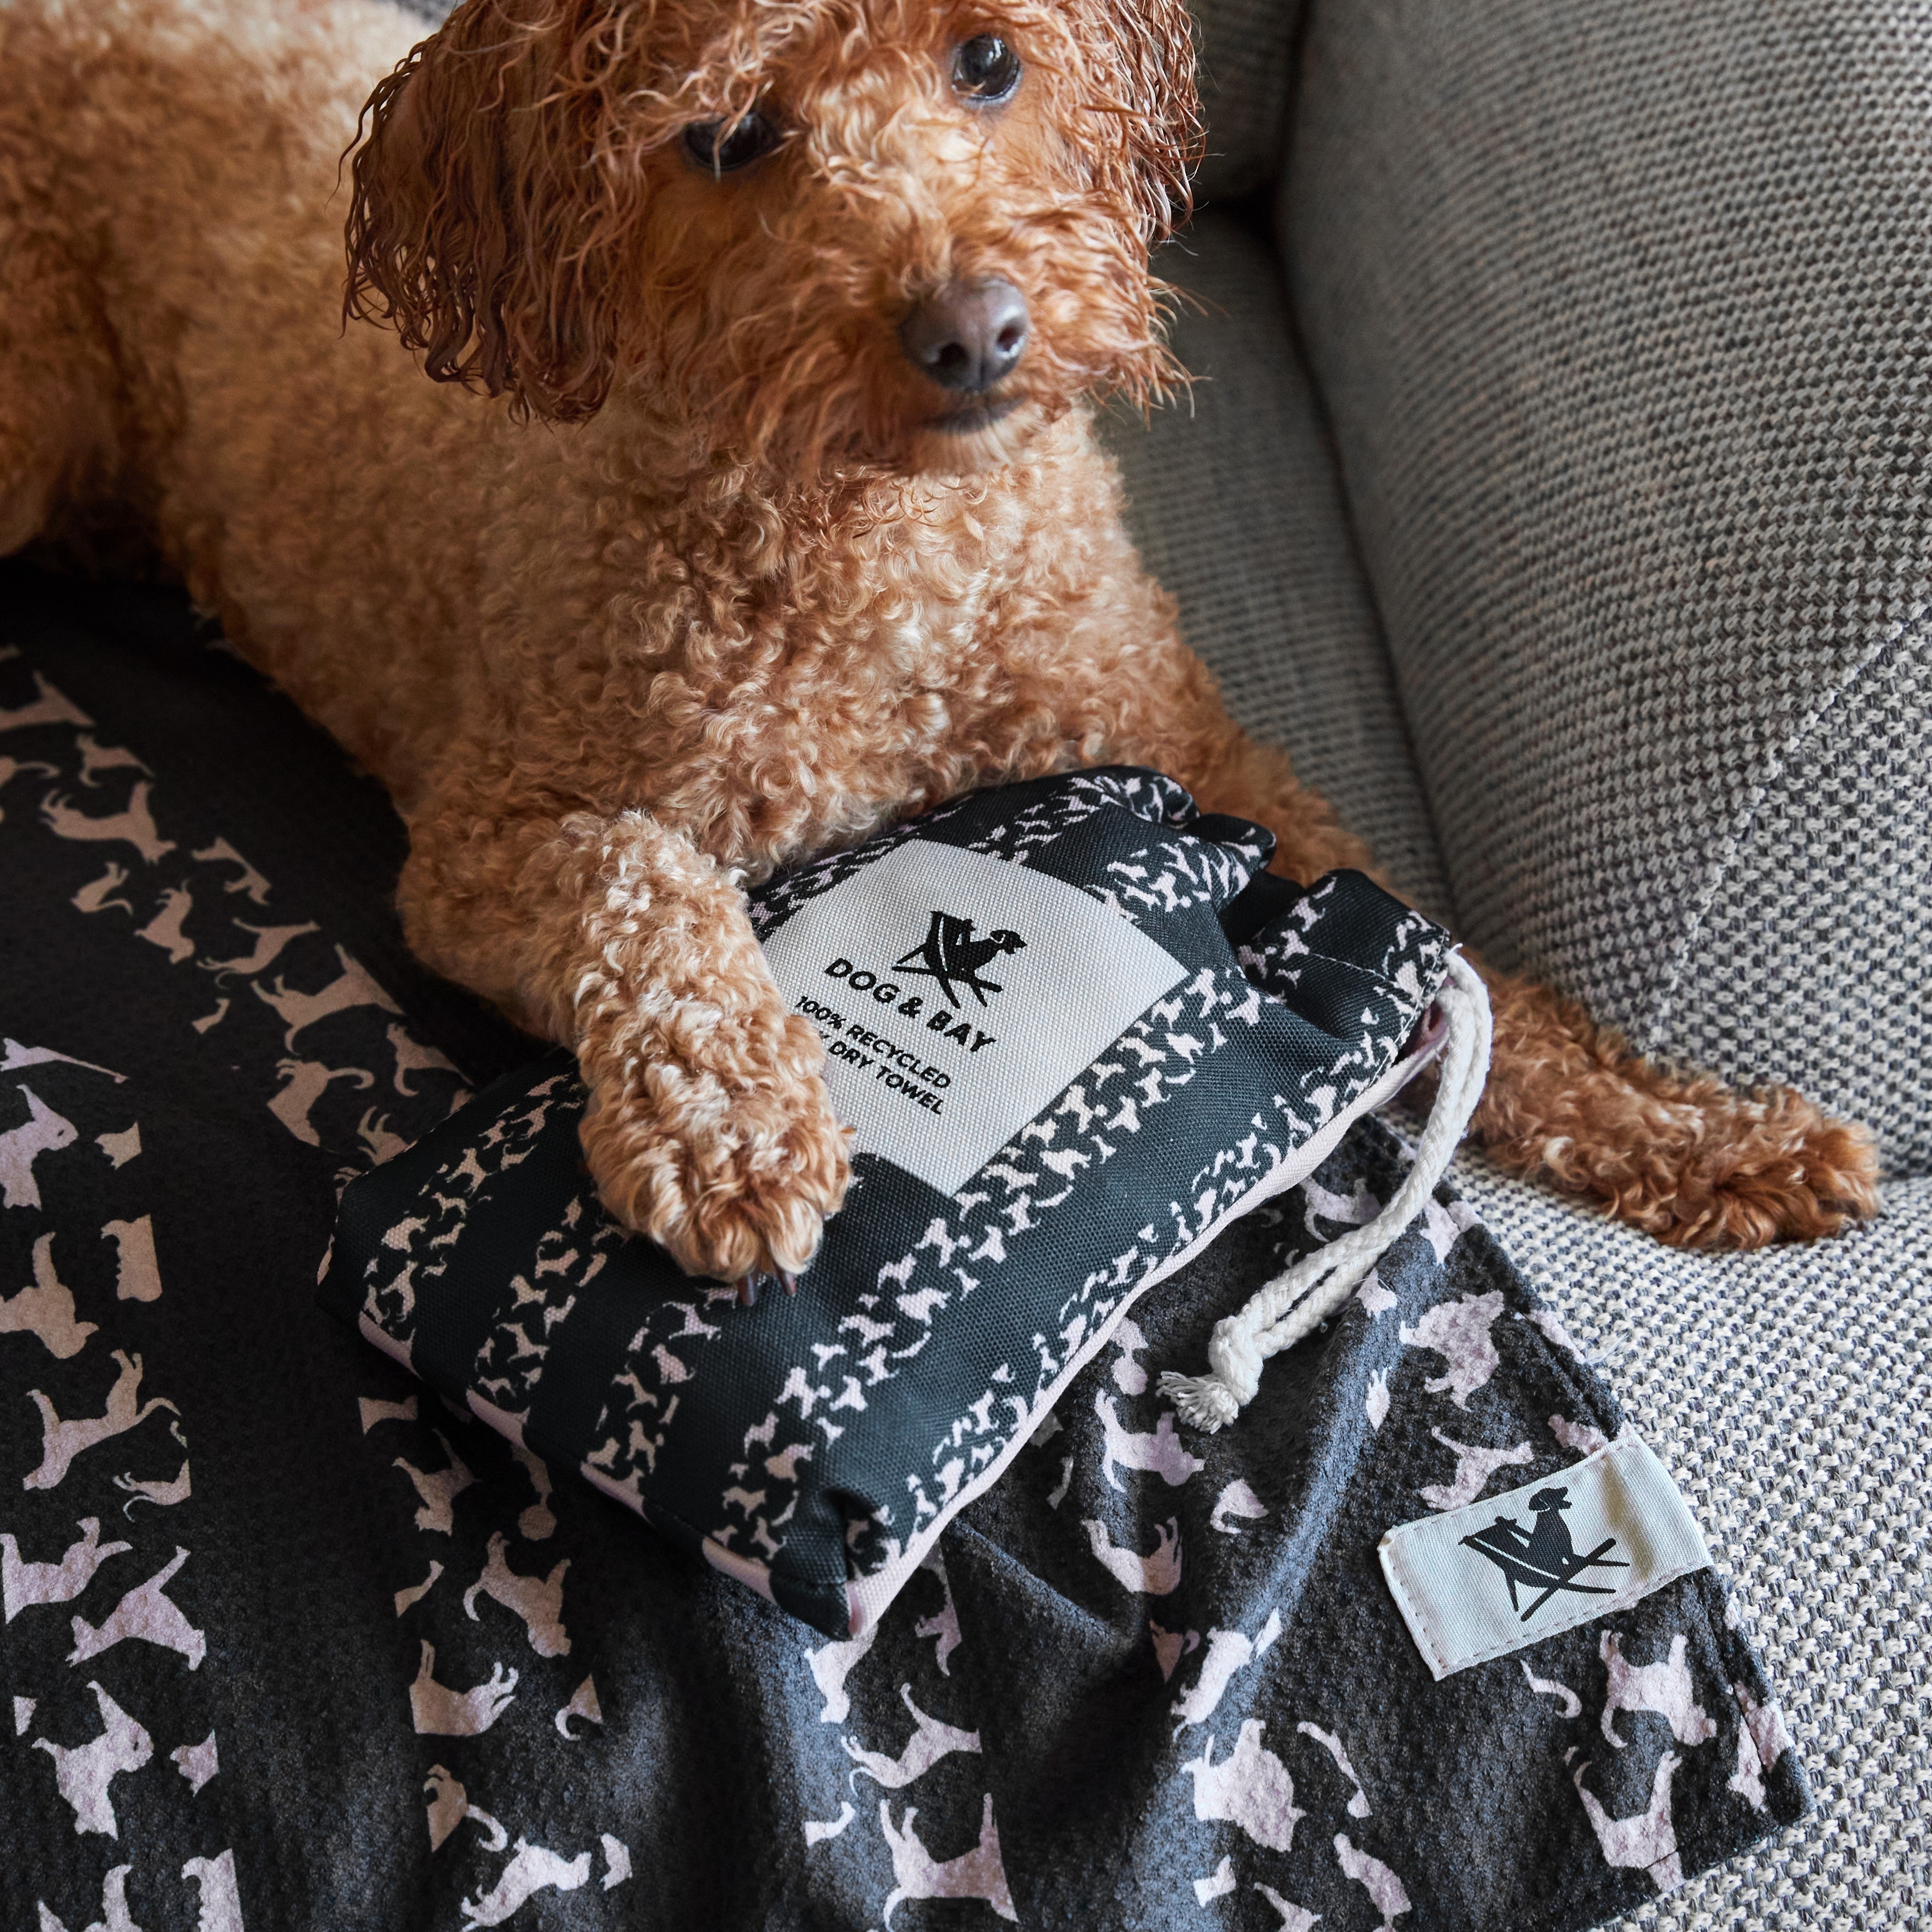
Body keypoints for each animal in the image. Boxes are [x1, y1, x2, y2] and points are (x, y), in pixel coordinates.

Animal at [0, 0, 1870, 1283]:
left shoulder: (1194, 749)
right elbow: (648, 891)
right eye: (728, 137)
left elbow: (1467, 968)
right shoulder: (494, 831)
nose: (976, 329)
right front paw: (736, 1117)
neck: (892, 559)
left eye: (986, 61)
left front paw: (1703, 1132)